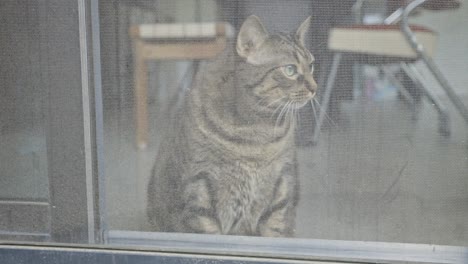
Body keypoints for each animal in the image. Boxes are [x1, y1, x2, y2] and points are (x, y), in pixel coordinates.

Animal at [147, 15, 318, 236]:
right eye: (290, 70)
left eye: (311, 66)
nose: (315, 88)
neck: (255, 133)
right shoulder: (199, 188)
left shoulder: (282, 185)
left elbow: (276, 229)